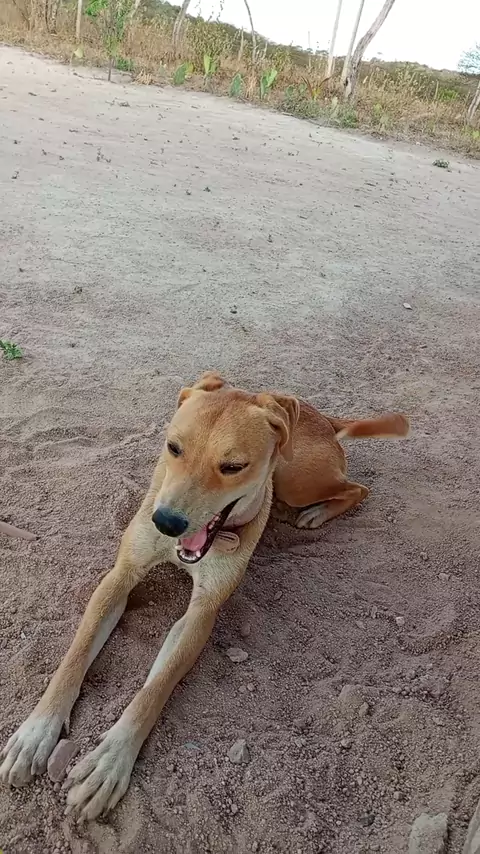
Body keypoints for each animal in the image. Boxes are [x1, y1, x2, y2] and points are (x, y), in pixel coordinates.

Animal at [0, 371, 409, 819]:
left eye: (233, 467)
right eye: (173, 447)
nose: (166, 522)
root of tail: (322, 417)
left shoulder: (201, 613)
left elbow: (154, 689)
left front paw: (110, 760)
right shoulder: (120, 578)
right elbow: (74, 657)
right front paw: (36, 733)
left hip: (297, 478)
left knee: (357, 488)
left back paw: (317, 512)